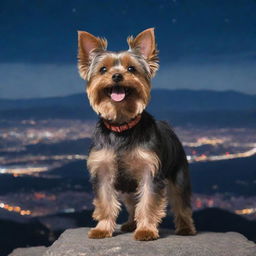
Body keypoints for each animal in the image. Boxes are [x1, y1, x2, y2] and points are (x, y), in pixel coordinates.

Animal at [77, 28, 195, 240]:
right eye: (103, 69)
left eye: (131, 69)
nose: (117, 76)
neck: (122, 127)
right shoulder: (103, 172)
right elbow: (105, 202)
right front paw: (102, 229)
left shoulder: (150, 172)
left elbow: (148, 202)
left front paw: (146, 230)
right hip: (127, 188)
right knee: (132, 204)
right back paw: (131, 223)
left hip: (179, 174)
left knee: (181, 202)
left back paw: (185, 228)